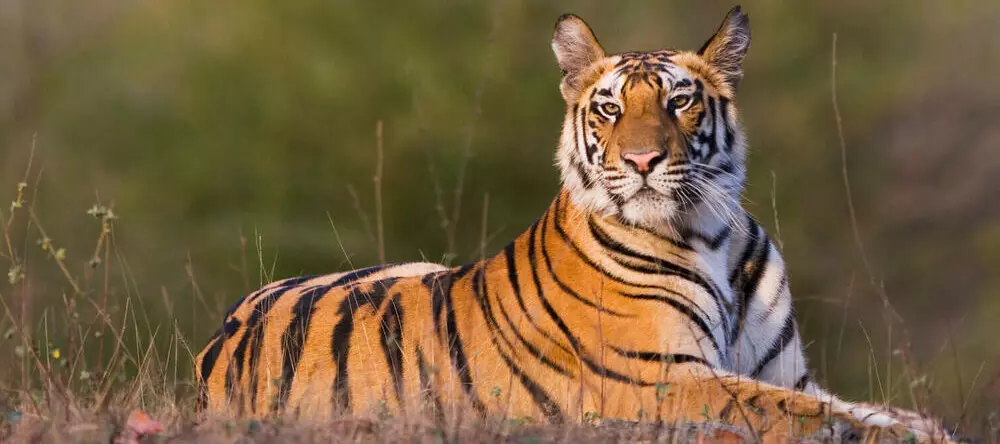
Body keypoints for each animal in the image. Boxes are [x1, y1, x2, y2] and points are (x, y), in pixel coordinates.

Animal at [195, 6, 956, 443]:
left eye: (680, 103)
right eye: (611, 109)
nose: (643, 160)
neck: (712, 233)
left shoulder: (789, 374)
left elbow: (862, 406)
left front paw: (926, 424)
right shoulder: (664, 379)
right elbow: (800, 415)